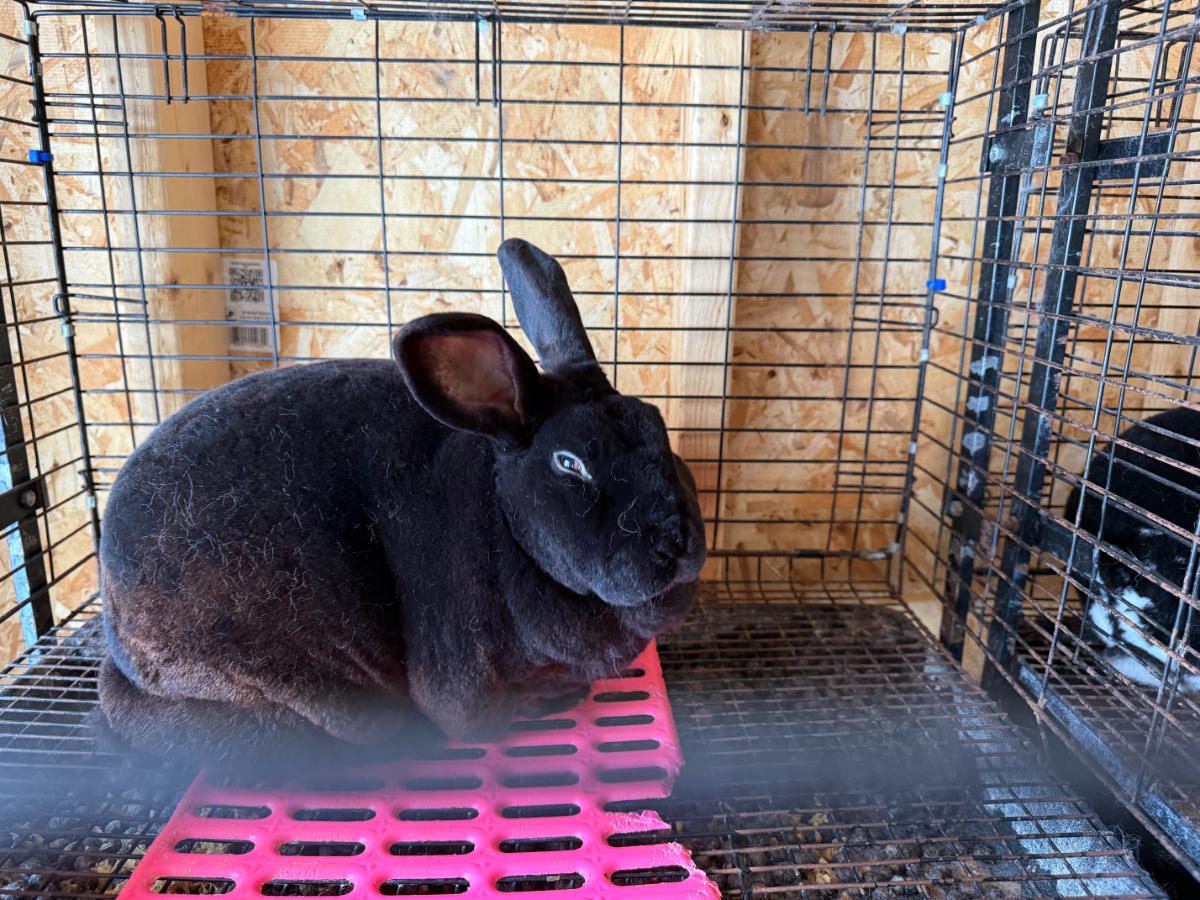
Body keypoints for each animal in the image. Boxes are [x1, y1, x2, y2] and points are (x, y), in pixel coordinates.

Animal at [96, 239, 707, 770]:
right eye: (569, 463)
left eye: (656, 425)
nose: (677, 542)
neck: (506, 522)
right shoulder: (461, 682)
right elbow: (479, 719)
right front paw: (545, 700)